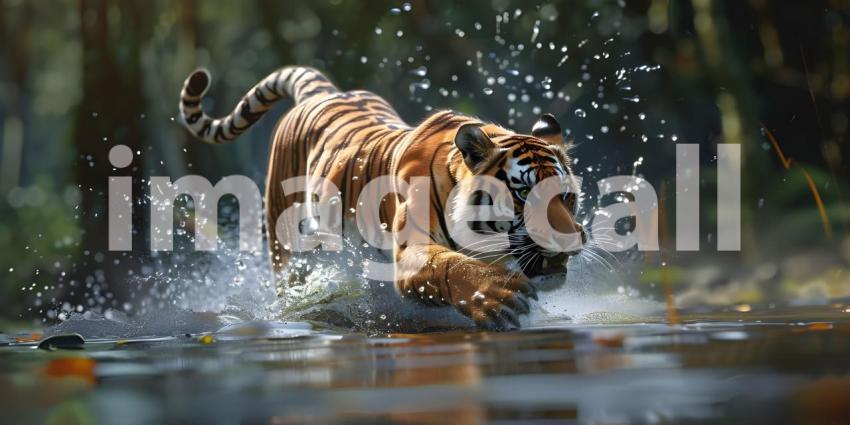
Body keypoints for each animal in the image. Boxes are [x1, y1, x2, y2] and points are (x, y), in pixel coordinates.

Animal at [178, 66, 585, 330]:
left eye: (567, 197)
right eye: (523, 193)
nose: (569, 241)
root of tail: (326, 92)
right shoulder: (410, 253)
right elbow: (450, 265)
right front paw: (495, 295)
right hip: (286, 245)